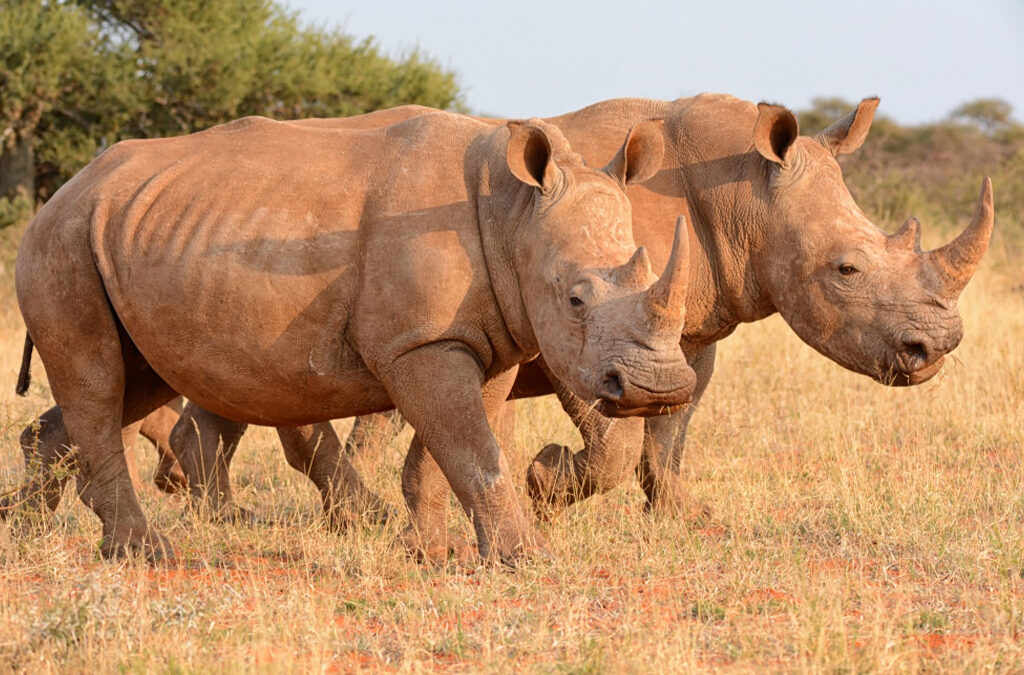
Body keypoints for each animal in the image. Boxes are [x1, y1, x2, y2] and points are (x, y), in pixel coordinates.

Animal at [12, 111, 698, 562]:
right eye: (576, 300)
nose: (661, 389)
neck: (513, 214)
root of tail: (61, 192)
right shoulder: (422, 342)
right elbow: (473, 449)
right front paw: (524, 560)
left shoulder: (485, 337)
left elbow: (450, 449)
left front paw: (428, 552)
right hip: (63, 240)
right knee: (98, 381)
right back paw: (144, 552)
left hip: (128, 236)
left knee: (136, 380)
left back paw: (23, 534)